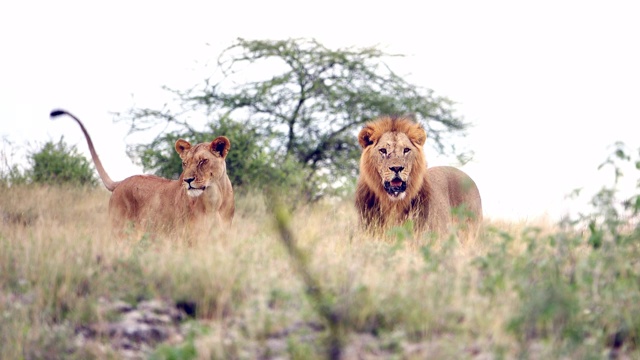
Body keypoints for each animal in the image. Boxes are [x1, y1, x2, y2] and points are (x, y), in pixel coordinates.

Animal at [50, 110, 235, 233]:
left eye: (203, 161)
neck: (213, 198)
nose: (187, 180)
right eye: (185, 163)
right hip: (120, 230)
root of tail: (121, 181)